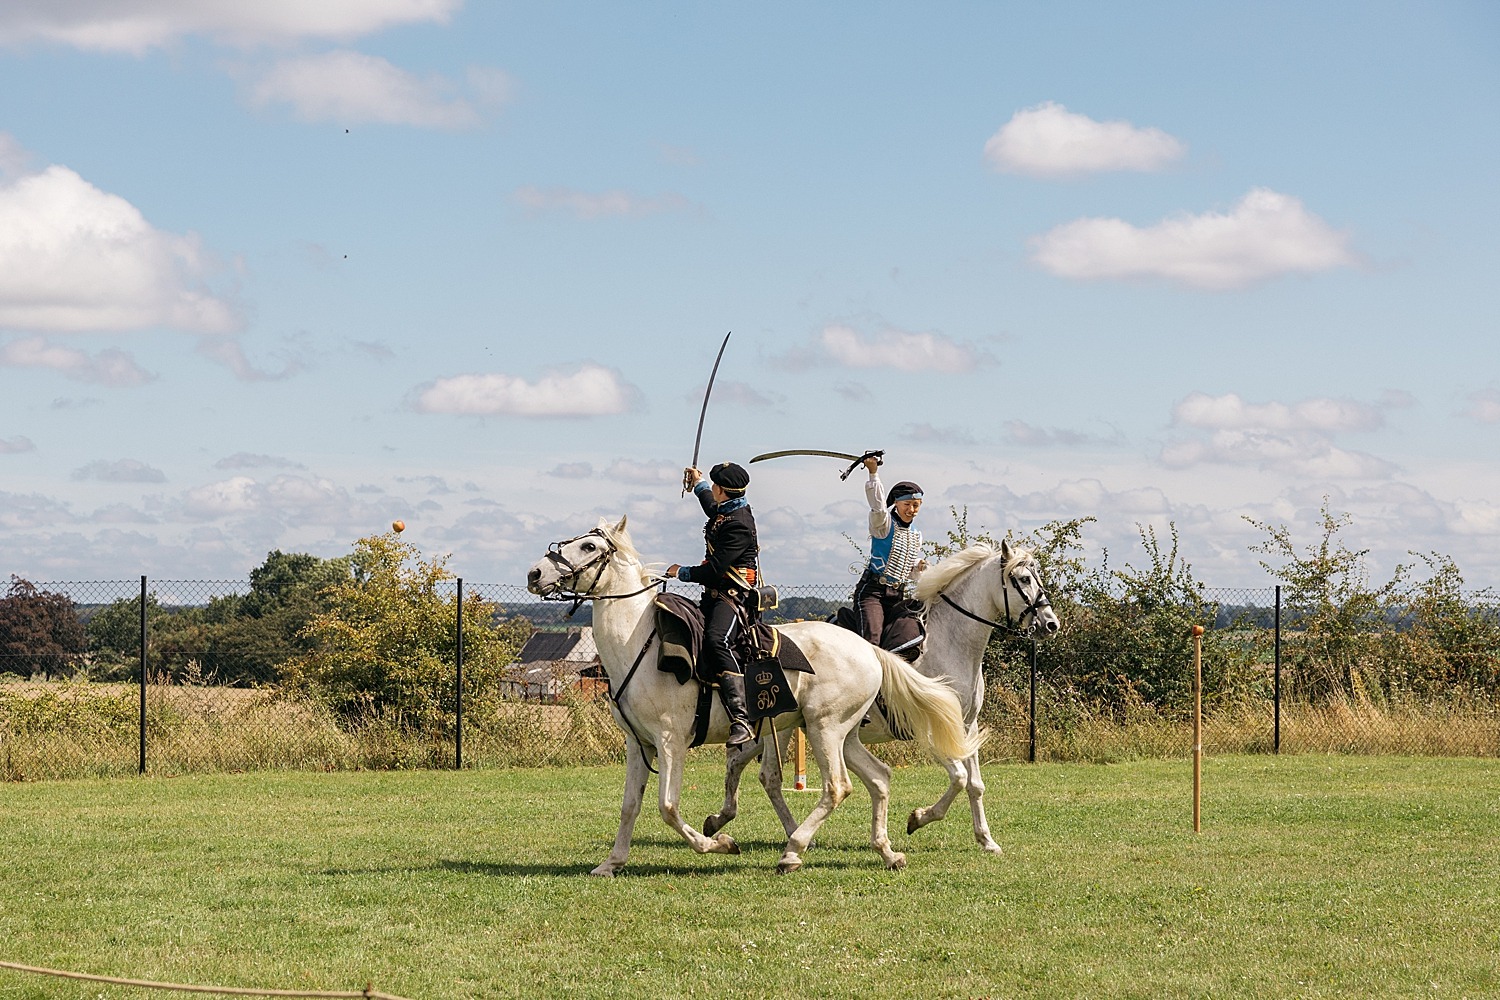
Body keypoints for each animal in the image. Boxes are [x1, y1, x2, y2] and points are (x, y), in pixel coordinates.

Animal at [528, 515, 984, 875]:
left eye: (589, 545)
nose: (535, 573)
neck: (640, 641)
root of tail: (868, 649)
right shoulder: (638, 744)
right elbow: (630, 806)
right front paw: (612, 863)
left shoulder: (670, 742)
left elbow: (668, 807)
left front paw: (718, 844)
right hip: (842, 733)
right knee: (878, 778)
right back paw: (887, 852)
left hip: (824, 730)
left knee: (838, 787)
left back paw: (793, 850)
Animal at [699, 542, 1062, 857]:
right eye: (1024, 579)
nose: (1051, 624)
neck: (949, 644)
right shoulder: (931, 730)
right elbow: (959, 778)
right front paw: (918, 818)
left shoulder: (965, 728)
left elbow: (974, 784)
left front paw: (986, 841)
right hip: (783, 727)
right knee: (768, 776)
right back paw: (791, 833)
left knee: (739, 759)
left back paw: (719, 820)